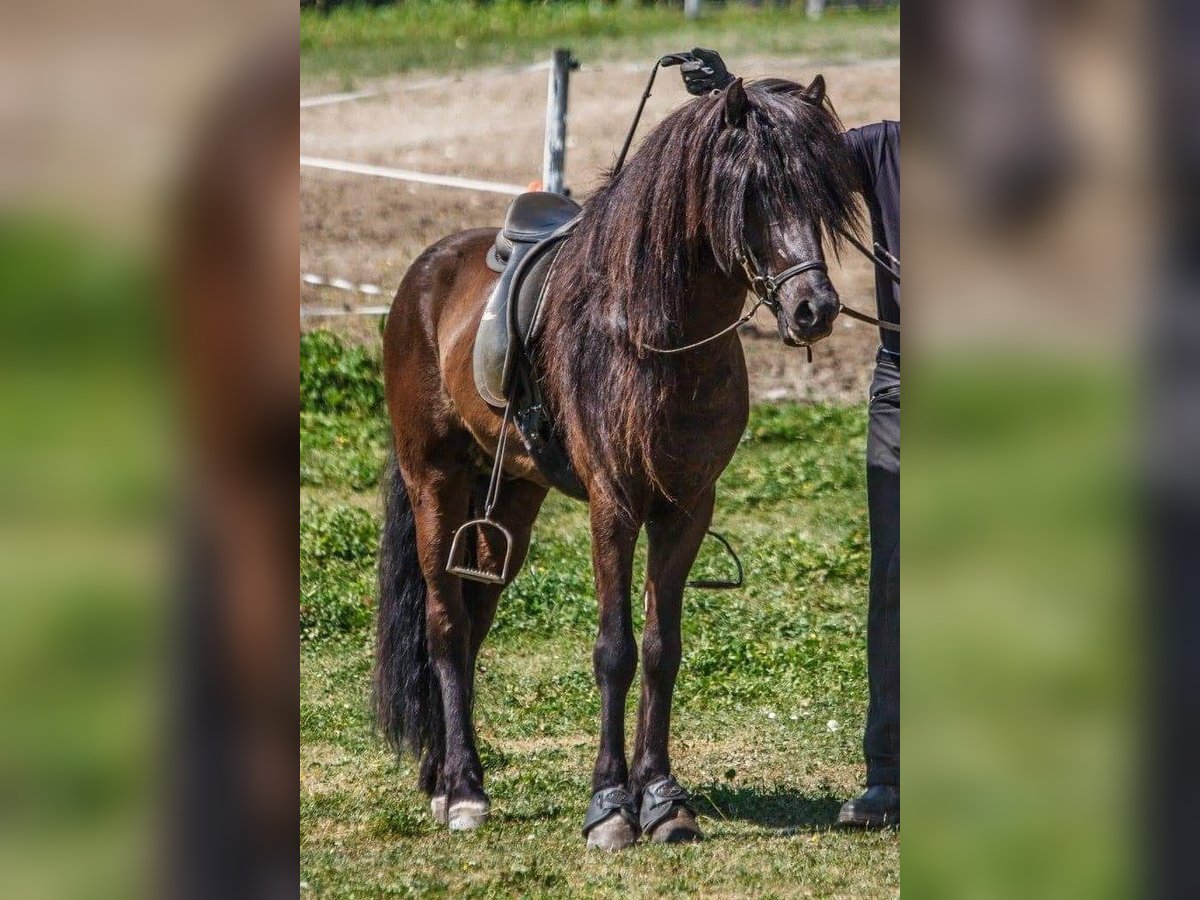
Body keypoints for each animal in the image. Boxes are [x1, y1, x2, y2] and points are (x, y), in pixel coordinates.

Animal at [374, 75, 864, 854]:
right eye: (752, 193)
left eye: (820, 193)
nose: (813, 309)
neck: (654, 335)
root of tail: (427, 269)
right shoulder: (615, 505)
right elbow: (615, 649)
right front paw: (608, 805)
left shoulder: (686, 508)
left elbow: (662, 649)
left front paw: (661, 798)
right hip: (435, 484)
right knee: (445, 625)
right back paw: (464, 790)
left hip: (511, 498)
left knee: (474, 622)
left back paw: (441, 773)